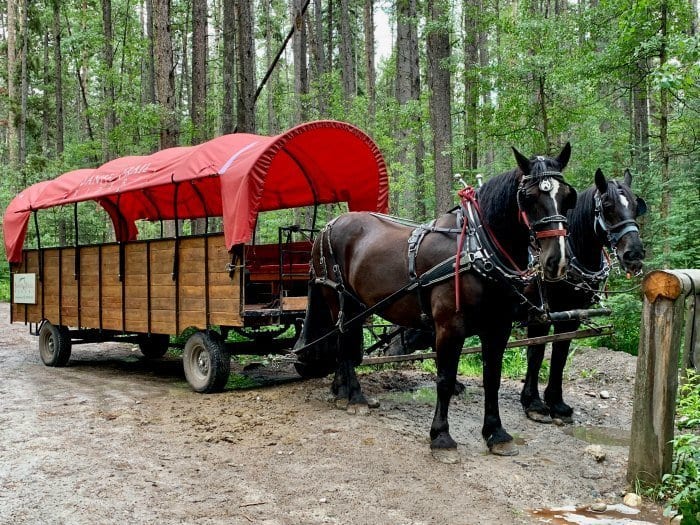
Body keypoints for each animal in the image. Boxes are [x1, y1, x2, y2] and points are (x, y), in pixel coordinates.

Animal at [292, 144, 576, 458]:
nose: (557, 260)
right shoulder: (449, 327)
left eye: (567, 197)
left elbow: (492, 378)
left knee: (346, 342)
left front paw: (496, 433)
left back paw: (341, 390)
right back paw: (354, 397)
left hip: (356, 304)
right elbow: (445, 378)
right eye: (529, 197)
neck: (477, 248)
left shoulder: (498, 327)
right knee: (344, 341)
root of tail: (326, 228)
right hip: (338, 297)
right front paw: (441, 436)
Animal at [520, 168, 644, 422]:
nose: (634, 254)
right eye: (607, 206)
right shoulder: (538, 315)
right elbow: (536, 353)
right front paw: (533, 402)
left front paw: (556, 402)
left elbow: (560, 355)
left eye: (637, 206)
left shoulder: (571, 316)